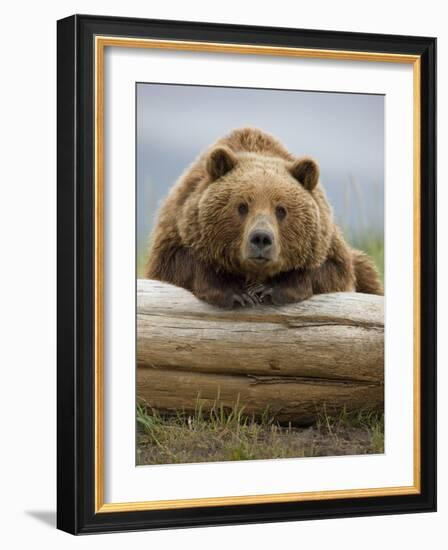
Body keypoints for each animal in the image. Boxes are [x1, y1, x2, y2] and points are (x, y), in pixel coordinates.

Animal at [145, 130, 384, 310]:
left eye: (281, 210)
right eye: (242, 206)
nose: (261, 238)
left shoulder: (326, 244)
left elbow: (332, 271)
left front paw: (270, 288)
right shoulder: (179, 226)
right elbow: (178, 264)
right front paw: (236, 292)